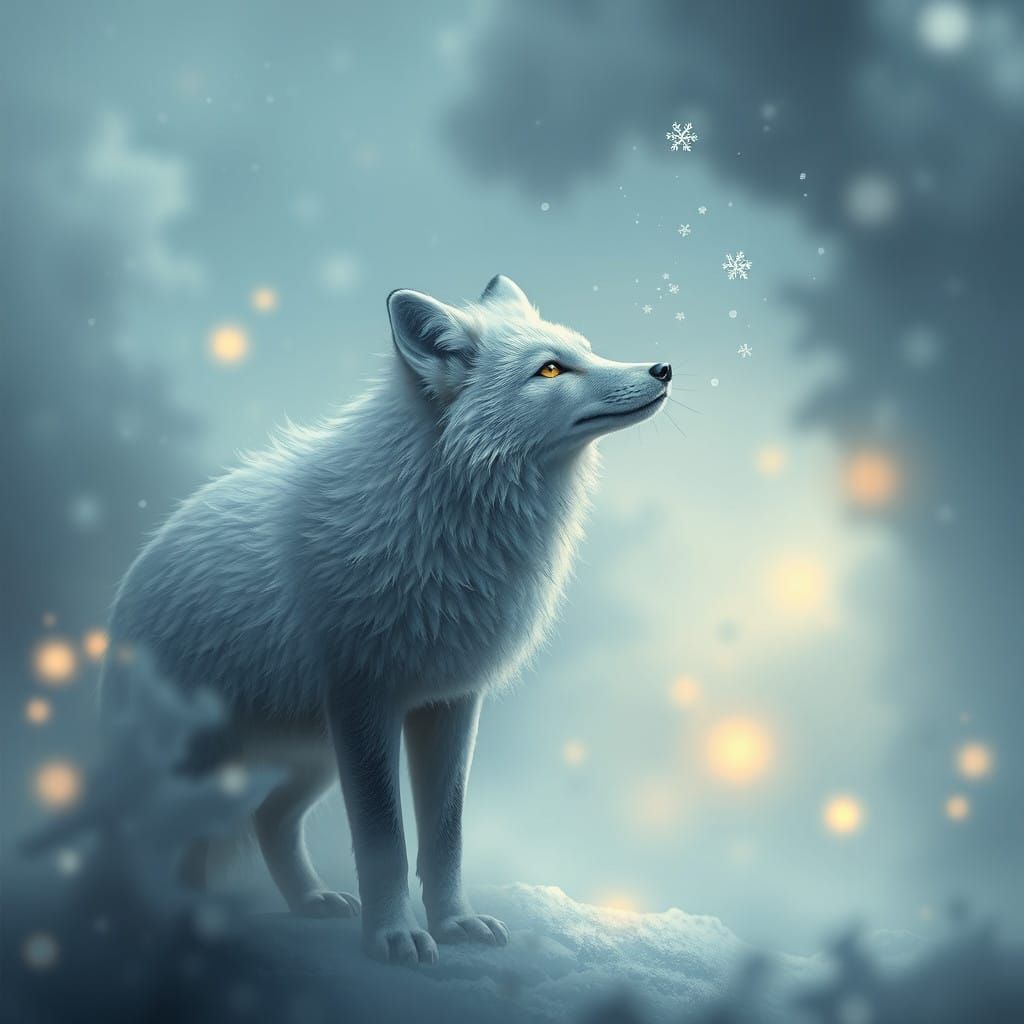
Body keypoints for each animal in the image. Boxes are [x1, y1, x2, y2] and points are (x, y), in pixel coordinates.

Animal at [100, 275, 671, 965]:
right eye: (551, 369)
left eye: (586, 348)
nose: (663, 369)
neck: (445, 521)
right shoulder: (365, 701)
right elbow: (383, 843)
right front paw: (394, 937)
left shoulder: (450, 703)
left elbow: (445, 838)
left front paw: (455, 924)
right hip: (213, 766)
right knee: (141, 841)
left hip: (310, 756)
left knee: (266, 821)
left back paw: (305, 902)